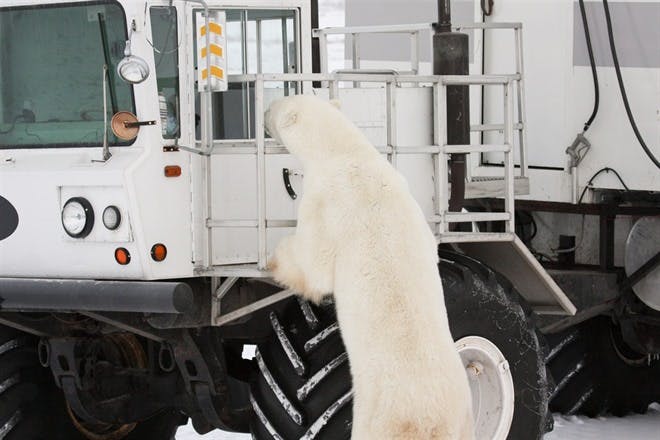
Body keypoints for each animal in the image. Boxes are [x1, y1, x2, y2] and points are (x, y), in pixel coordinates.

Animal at [266, 95, 474, 440]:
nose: (264, 114)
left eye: (274, 106)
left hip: (378, 416)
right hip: (463, 417)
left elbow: (314, 267)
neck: (347, 151)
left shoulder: (326, 202)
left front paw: (275, 259)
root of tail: (430, 424)